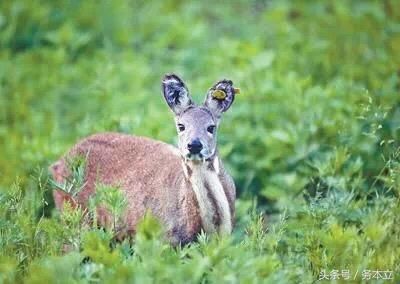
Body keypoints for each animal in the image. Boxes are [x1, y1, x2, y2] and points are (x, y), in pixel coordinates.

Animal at [49, 74, 238, 245]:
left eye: (211, 127)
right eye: (181, 126)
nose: (194, 145)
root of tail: (58, 163)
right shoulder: (165, 239)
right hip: (74, 215)